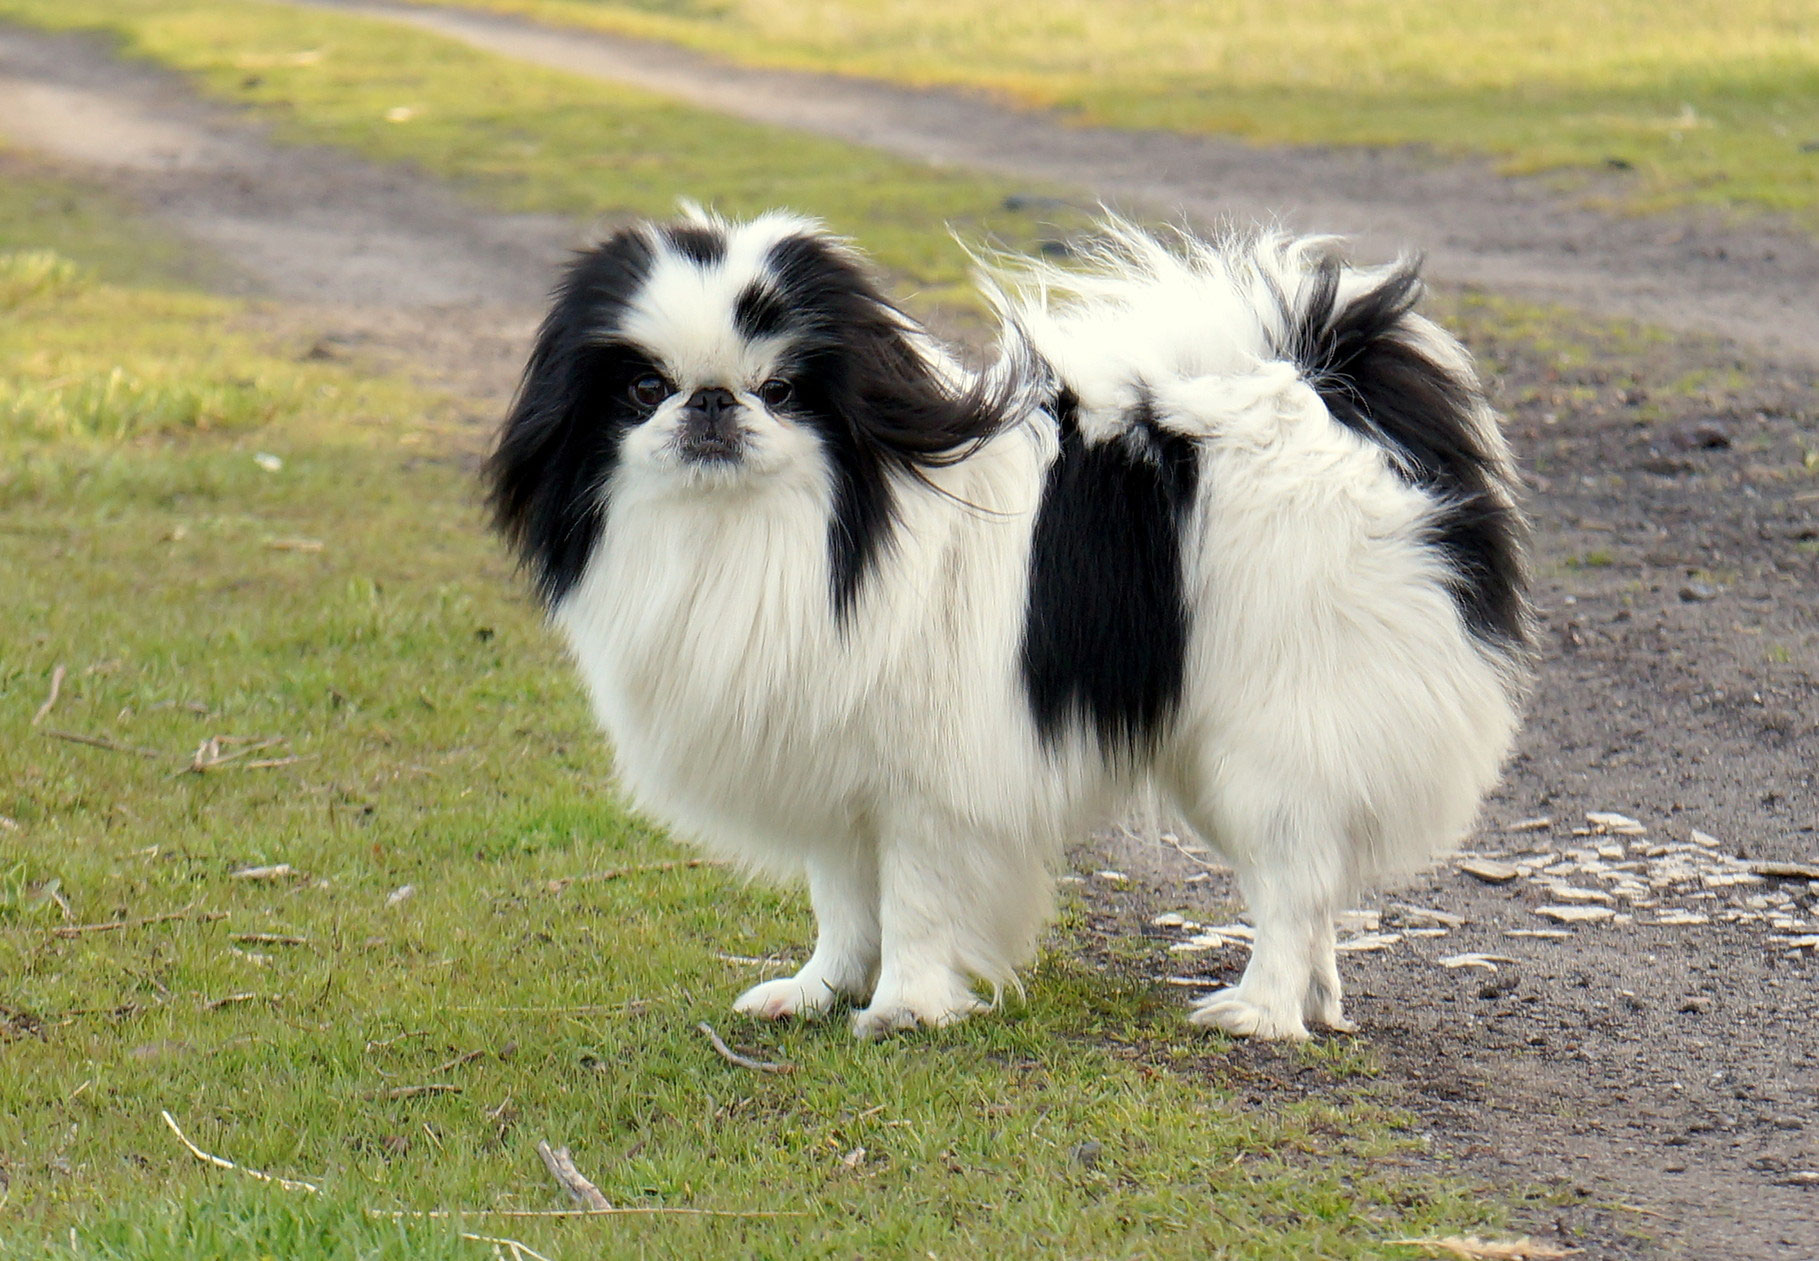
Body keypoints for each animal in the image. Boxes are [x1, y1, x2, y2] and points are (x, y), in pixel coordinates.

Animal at [483, 209, 1520, 1040]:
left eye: (779, 391)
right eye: (642, 390)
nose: (709, 402)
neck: (776, 535)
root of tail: (1326, 393)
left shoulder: (924, 788)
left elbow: (912, 903)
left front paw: (902, 1009)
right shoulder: (835, 767)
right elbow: (842, 903)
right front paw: (820, 991)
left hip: (1266, 744)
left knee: (1293, 883)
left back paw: (1261, 1013)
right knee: (1308, 887)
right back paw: (1317, 1003)